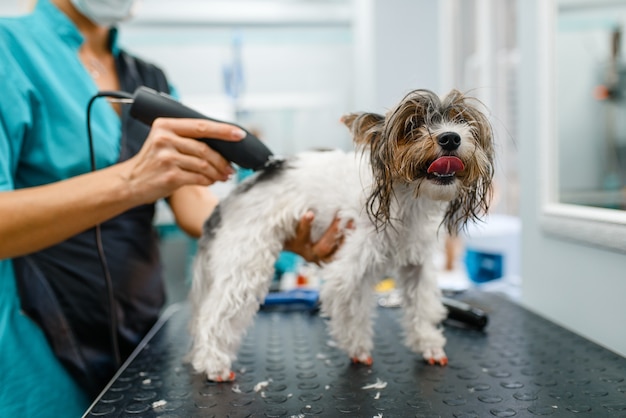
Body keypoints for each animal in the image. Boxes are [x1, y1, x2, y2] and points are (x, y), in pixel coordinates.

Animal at [185, 89, 492, 382]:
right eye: (413, 124)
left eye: (462, 120)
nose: (451, 138)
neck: (406, 201)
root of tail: (230, 199)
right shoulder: (348, 272)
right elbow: (351, 312)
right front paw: (357, 348)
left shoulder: (417, 266)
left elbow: (423, 306)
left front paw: (428, 343)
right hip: (245, 264)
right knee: (213, 316)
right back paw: (213, 363)